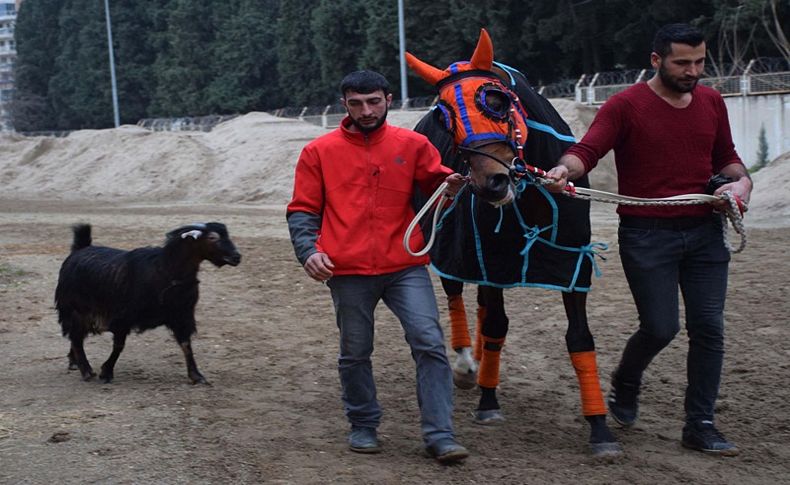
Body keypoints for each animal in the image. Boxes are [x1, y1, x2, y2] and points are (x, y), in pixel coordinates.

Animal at [55, 221, 241, 384]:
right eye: (212, 237)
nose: (237, 257)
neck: (166, 270)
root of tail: (80, 249)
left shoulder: (181, 316)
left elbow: (186, 345)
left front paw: (197, 376)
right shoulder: (123, 317)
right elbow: (119, 346)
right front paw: (106, 372)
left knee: (76, 336)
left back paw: (74, 362)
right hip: (75, 309)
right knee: (76, 338)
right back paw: (86, 371)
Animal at [412, 29, 620, 454]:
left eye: (495, 99)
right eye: (444, 116)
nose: (491, 183)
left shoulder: (573, 263)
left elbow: (579, 337)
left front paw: (599, 427)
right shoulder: (491, 259)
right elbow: (496, 324)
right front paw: (488, 401)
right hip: (448, 238)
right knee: (457, 294)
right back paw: (466, 365)